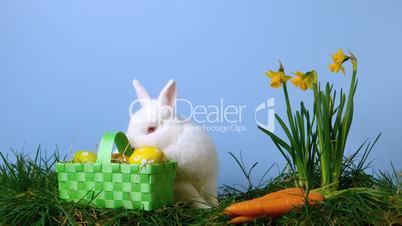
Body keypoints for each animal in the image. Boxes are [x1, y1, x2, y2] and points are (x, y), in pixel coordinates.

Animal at [126, 79, 218, 208]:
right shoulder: (182, 184)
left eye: (151, 129)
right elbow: (194, 197)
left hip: (209, 181)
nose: (132, 147)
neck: (173, 139)